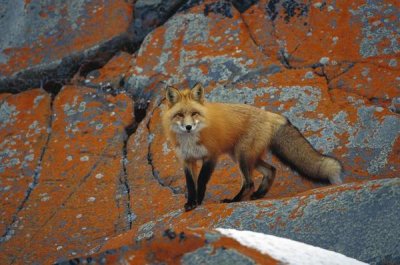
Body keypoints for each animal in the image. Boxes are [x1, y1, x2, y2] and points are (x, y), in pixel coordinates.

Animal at [161, 82, 342, 210]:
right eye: (179, 115)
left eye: (194, 114)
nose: (188, 127)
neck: (190, 140)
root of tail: (270, 114)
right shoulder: (187, 160)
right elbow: (190, 185)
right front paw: (191, 203)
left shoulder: (211, 156)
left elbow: (201, 181)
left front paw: (198, 201)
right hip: (243, 156)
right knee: (271, 170)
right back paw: (259, 194)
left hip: (242, 156)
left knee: (249, 182)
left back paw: (234, 200)